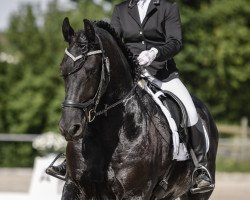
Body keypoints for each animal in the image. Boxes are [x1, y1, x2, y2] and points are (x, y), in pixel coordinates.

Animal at [58, 17, 219, 200]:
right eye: (62, 71)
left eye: (92, 71)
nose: (69, 128)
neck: (106, 133)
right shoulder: (74, 186)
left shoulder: (135, 193)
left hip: (197, 192)